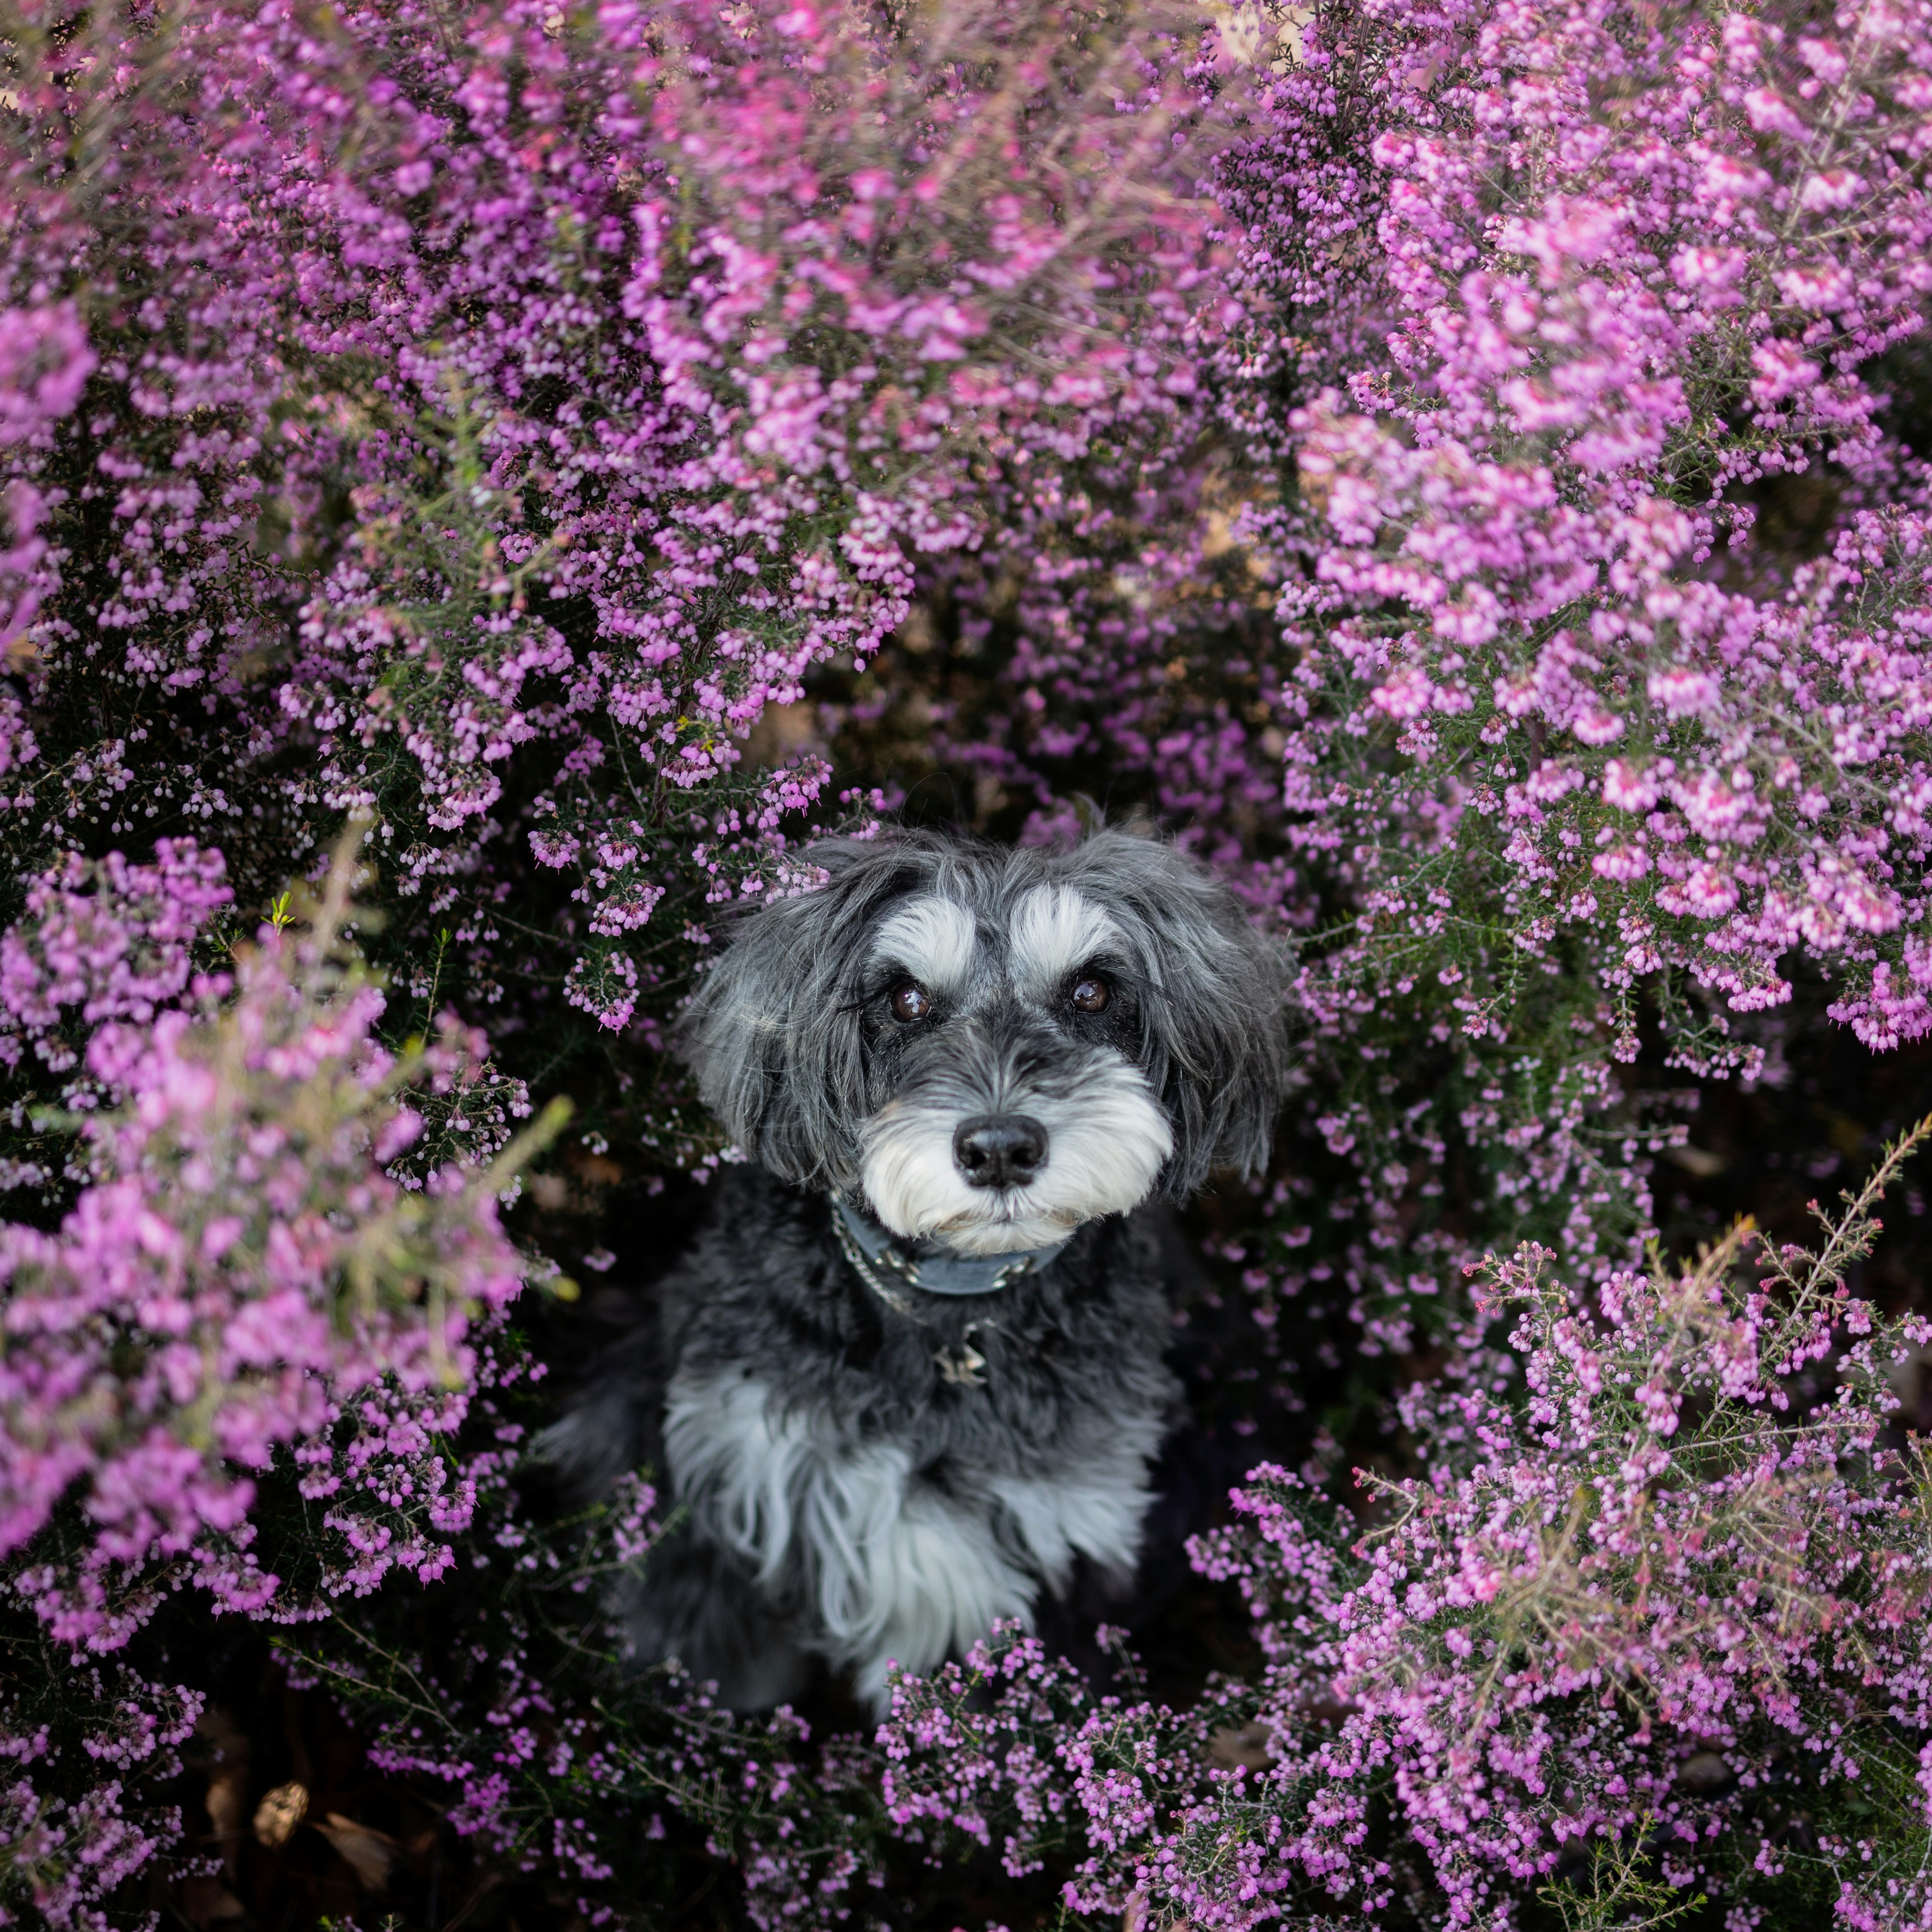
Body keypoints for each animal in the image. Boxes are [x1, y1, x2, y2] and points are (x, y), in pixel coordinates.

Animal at [544, 823, 1291, 1715]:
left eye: (1091, 993)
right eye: (905, 1001)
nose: (1001, 1149)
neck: (948, 1312)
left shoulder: (1048, 1553)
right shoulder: (726, 1478)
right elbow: (698, 1651)